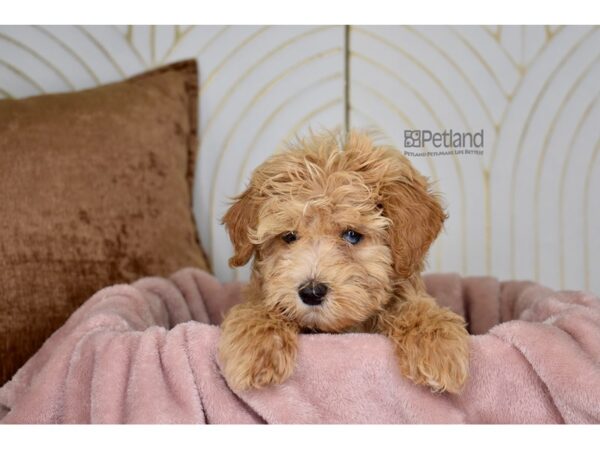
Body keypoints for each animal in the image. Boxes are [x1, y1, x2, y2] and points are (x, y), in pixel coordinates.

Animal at [218, 130, 472, 394]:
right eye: (288, 236)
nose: (311, 292)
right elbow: (261, 307)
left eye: (352, 235)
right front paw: (257, 348)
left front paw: (438, 347)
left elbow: (415, 308)